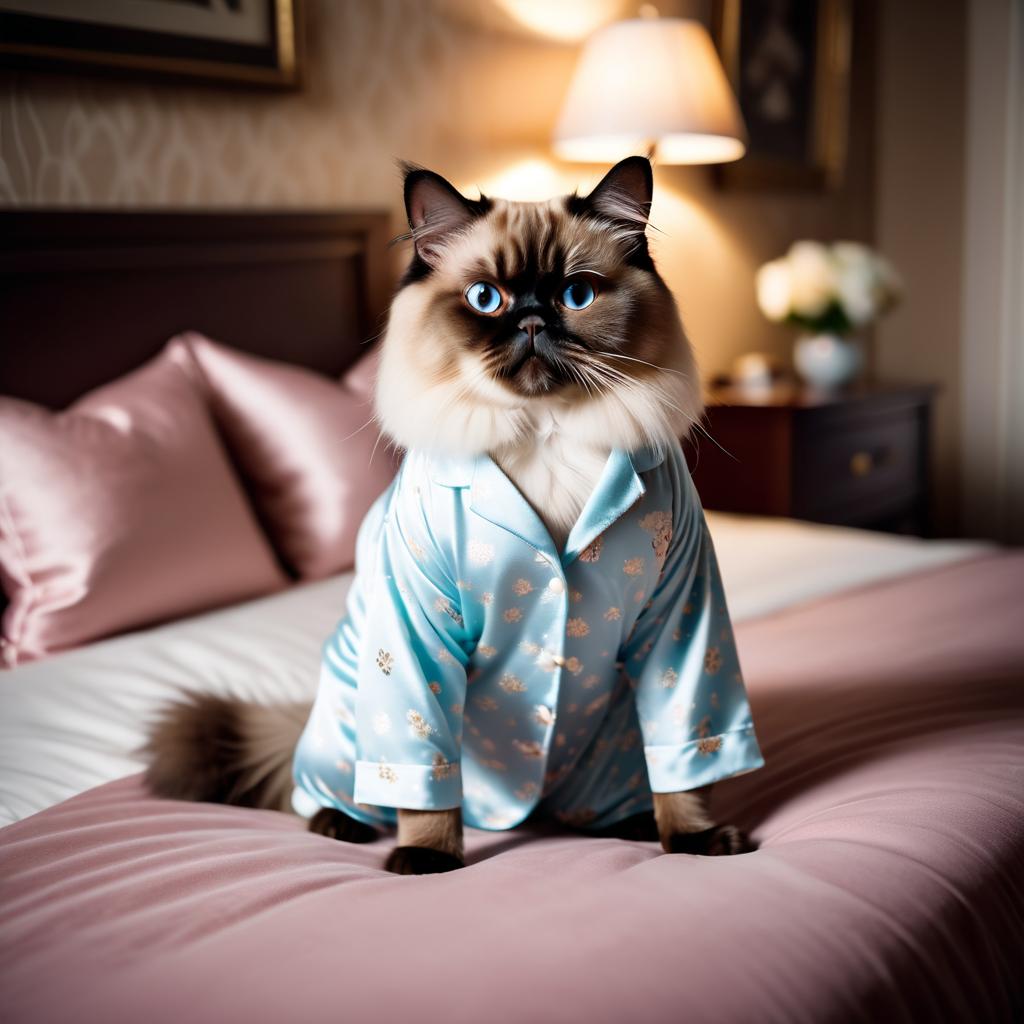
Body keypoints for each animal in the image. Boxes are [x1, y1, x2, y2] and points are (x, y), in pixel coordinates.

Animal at [148, 157, 765, 872]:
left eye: (576, 295)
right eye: (485, 300)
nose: (532, 323)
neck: (545, 436)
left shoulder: (682, 621)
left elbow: (691, 758)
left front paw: (696, 842)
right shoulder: (416, 631)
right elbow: (425, 775)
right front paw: (426, 859)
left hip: (616, 734)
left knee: (628, 787)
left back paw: (631, 824)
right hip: (350, 718)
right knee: (342, 791)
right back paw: (341, 824)